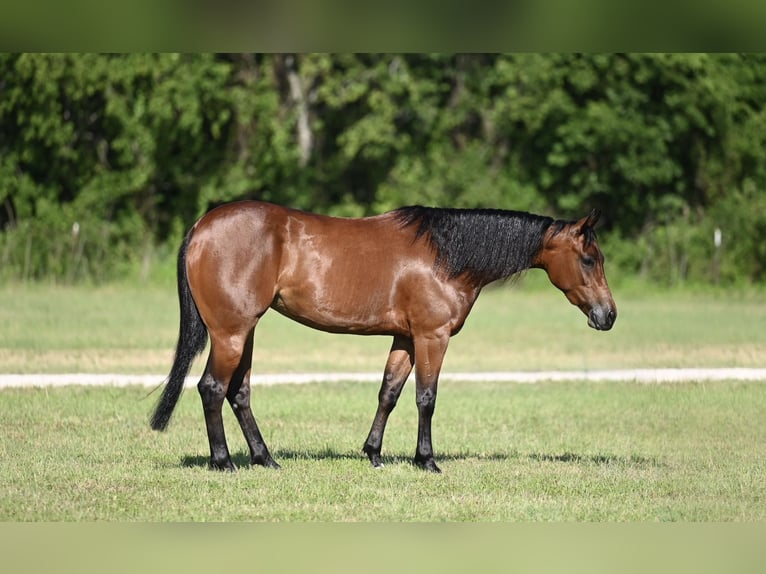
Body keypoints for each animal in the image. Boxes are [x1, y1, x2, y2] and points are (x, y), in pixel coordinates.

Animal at [151, 200, 617, 473]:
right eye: (589, 259)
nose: (608, 315)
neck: (447, 256)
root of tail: (201, 226)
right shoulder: (432, 337)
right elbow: (426, 398)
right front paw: (426, 460)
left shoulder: (406, 339)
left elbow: (389, 393)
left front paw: (373, 453)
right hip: (230, 333)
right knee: (212, 388)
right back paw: (223, 462)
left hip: (244, 332)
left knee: (238, 392)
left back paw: (265, 459)